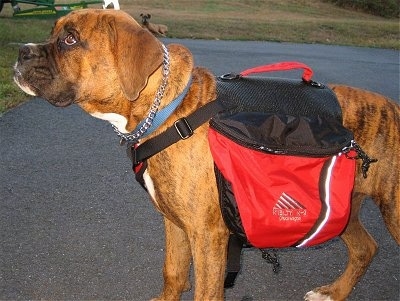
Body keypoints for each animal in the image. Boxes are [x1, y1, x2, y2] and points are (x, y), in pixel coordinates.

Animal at [13, 8, 400, 300]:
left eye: (70, 39)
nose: (20, 51)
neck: (166, 112)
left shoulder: (208, 237)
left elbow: (206, 291)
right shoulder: (174, 222)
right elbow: (172, 271)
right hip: (343, 209)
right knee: (365, 248)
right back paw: (333, 292)